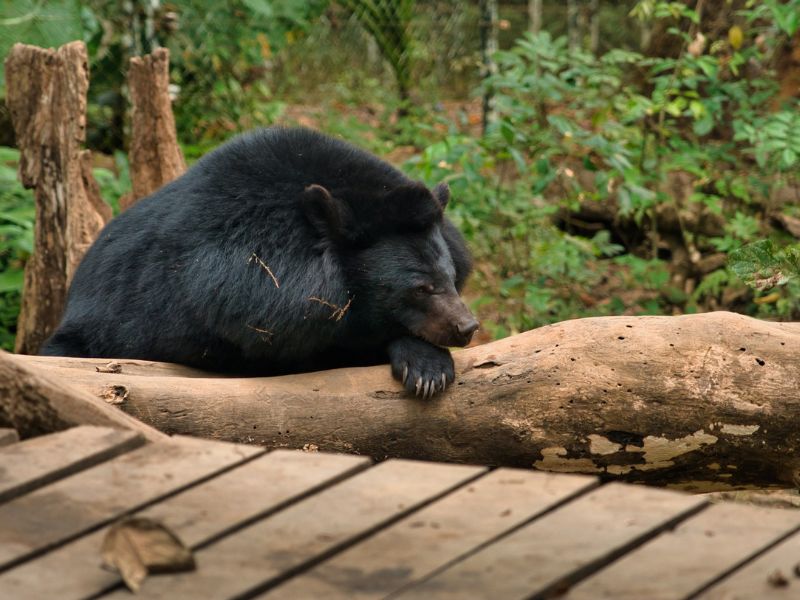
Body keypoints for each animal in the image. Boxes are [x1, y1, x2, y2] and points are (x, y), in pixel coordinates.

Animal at [40, 127, 478, 398]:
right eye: (420, 288)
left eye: (451, 276)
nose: (468, 327)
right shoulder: (243, 309)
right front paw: (425, 368)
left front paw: (429, 366)